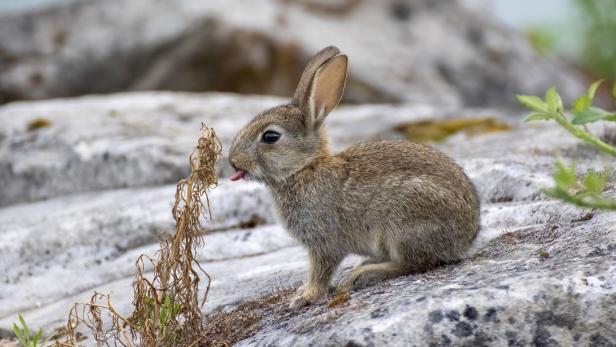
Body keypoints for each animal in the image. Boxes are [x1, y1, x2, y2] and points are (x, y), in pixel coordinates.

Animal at [227, 46, 482, 310]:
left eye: (270, 136)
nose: (232, 161)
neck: (304, 168)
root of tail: (465, 239)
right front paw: (303, 293)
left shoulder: (324, 241)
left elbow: (321, 271)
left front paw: (305, 297)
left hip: (404, 220)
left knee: (415, 263)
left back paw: (362, 274)